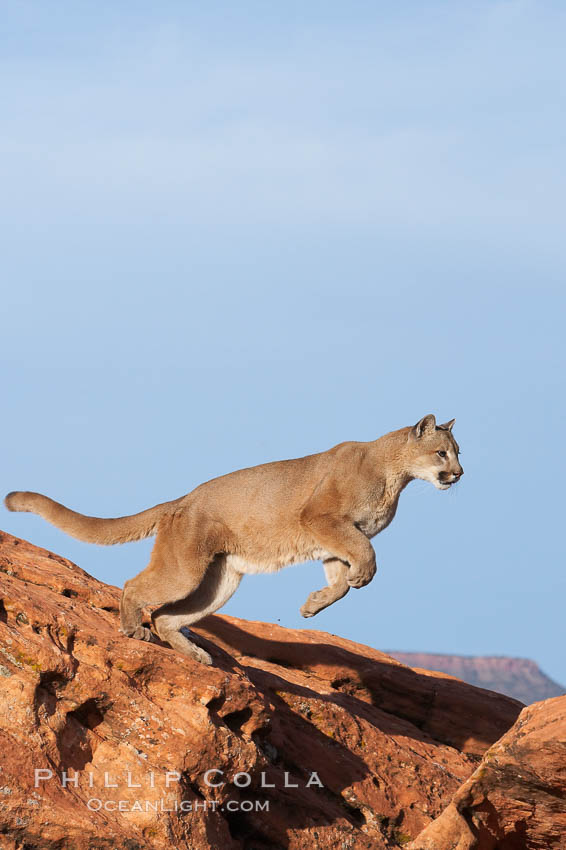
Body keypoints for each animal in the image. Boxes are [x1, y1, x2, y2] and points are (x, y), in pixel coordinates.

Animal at [4, 410, 464, 664]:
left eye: (459, 452)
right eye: (442, 452)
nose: (459, 475)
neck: (395, 475)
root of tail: (181, 500)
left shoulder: (331, 540)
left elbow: (340, 580)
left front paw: (314, 605)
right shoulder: (322, 518)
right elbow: (366, 553)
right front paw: (361, 576)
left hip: (219, 582)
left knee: (167, 616)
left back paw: (196, 654)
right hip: (185, 571)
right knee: (136, 587)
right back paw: (134, 629)